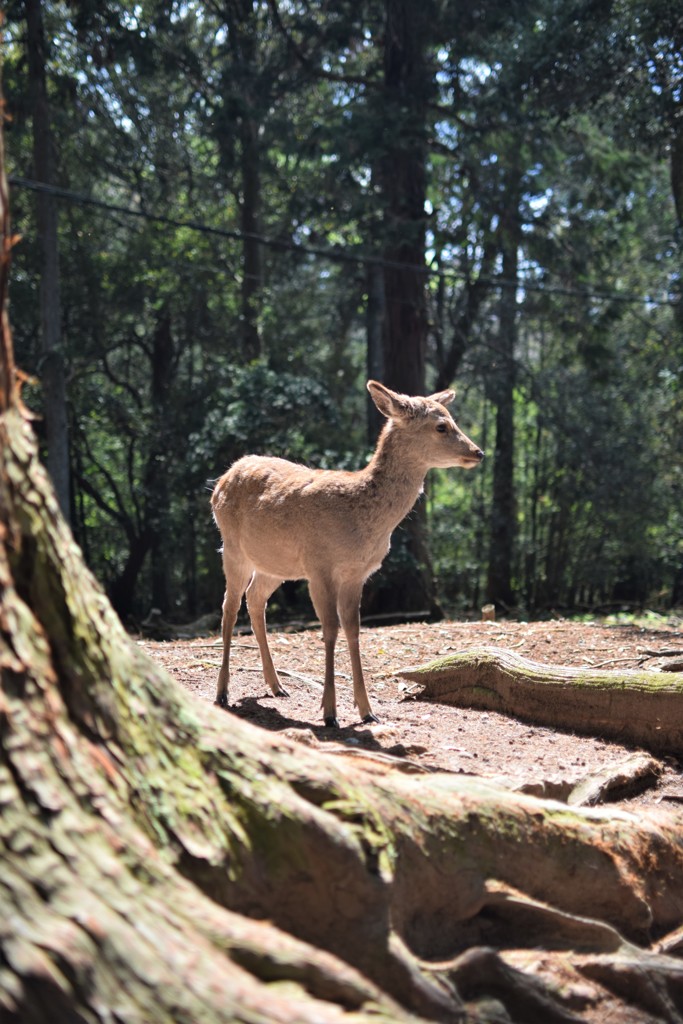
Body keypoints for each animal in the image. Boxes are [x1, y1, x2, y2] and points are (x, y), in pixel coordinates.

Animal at [210, 378, 483, 729]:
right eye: (441, 426)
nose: (478, 452)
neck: (363, 520)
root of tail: (222, 479)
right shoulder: (320, 566)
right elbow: (329, 630)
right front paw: (330, 712)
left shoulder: (357, 573)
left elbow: (353, 630)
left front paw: (367, 710)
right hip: (232, 548)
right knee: (228, 607)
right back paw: (223, 691)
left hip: (275, 565)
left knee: (255, 599)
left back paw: (276, 685)